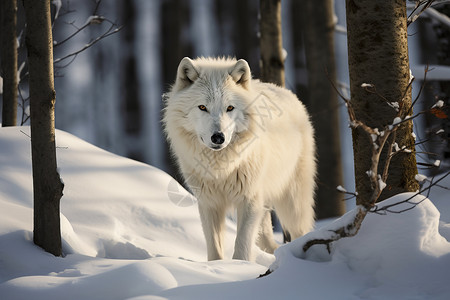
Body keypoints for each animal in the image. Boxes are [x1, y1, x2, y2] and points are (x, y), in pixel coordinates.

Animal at [163, 57, 316, 262]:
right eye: (202, 107)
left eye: (229, 108)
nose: (218, 137)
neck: (220, 167)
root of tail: (286, 92)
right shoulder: (209, 202)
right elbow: (214, 248)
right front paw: (217, 267)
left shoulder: (249, 200)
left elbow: (242, 244)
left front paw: (240, 266)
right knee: (267, 241)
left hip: (292, 202)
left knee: (301, 231)